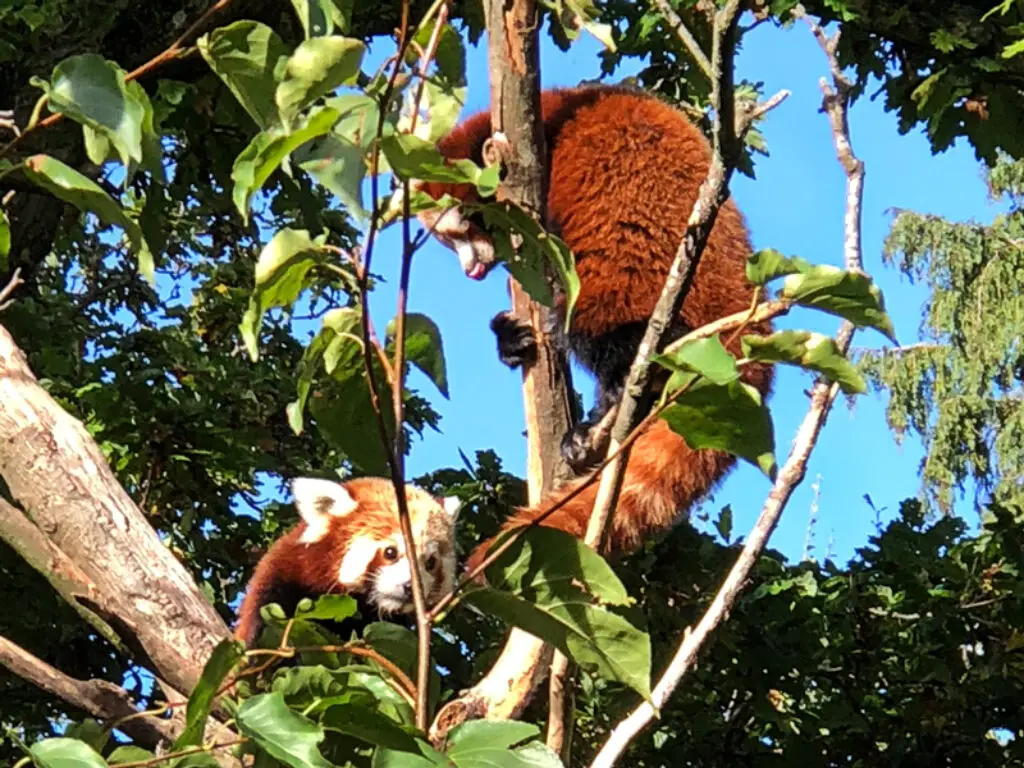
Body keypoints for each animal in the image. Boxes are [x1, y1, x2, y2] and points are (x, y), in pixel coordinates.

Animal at [411, 85, 770, 573]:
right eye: (450, 242)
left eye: (460, 231)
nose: (471, 270)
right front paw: (511, 339)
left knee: (602, 326)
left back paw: (610, 403)